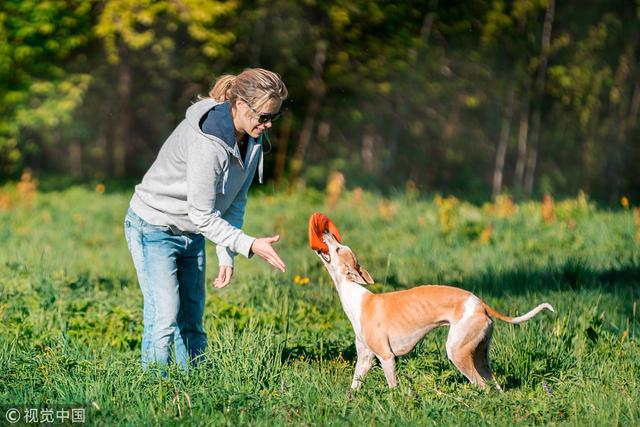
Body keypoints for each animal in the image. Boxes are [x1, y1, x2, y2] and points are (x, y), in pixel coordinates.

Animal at [316, 231, 556, 392]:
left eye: (338, 248)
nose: (327, 232)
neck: (357, 297)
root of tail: (480, 304)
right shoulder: (364, 359)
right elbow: (354, 387)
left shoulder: (387, 357)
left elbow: (393, 387)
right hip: (480, 356)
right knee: (495, 386)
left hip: (458, 352)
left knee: (482, 386)